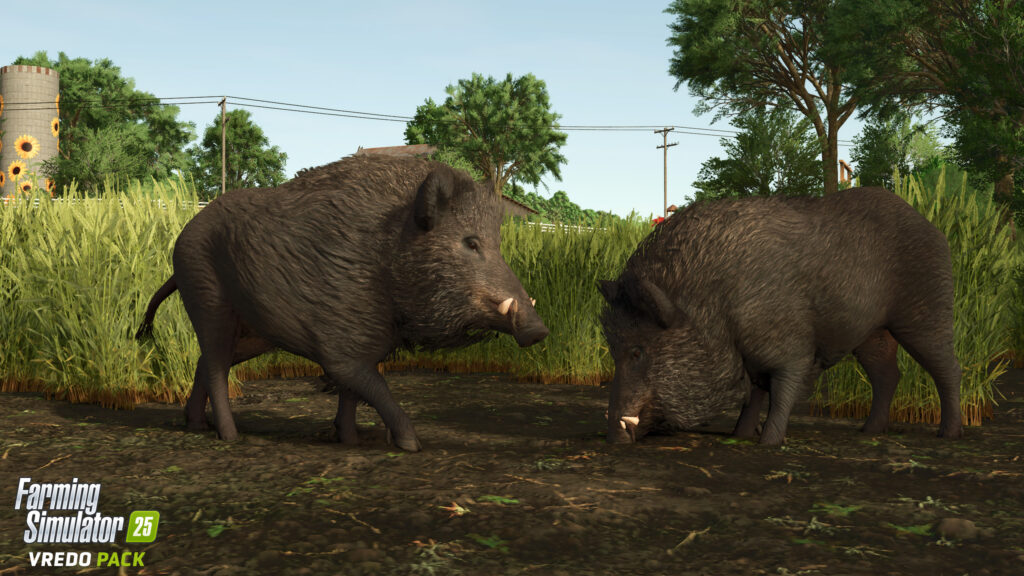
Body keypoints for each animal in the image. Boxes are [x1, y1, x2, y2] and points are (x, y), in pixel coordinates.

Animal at [135, 155, 548, 452]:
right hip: (208, 299)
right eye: (470, 242)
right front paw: (411, 444)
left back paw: (195, 425)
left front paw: (349, 440)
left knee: (205, 362)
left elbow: (354, 393)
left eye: (496, 243)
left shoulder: (365, 346)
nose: (539, 330)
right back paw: (230, 436)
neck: (387, 255)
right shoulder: (341, 346)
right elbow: (373, 385)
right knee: (216, 365)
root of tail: (182, 237)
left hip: (255, 333)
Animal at [600, 186, 963, 446]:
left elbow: (782, 391)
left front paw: (768, 443)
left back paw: (949, 433)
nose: (613, 436)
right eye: (614, 350)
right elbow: (755, 395)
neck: (713, 305)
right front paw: (739, 435)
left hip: (926, 313)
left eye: (637, 351)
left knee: (948, 367)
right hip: (872, 333)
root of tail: (934, 229)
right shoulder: (750, 358)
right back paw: (868, 432)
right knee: (888, 374)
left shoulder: (791, 347)